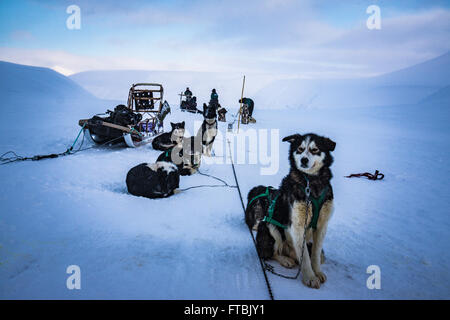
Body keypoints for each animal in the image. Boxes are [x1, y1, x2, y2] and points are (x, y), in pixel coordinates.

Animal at [244, 134, 336, 288]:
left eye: (315, 149)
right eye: (300, 149)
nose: (304, 160)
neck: (311, 184)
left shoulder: (321, 226)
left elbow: (315, 254)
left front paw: (317, 272)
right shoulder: (298, 226)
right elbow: (305, 257)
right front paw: (310, 277)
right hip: (270, 227)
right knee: (272, 253)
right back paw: (285, 260)